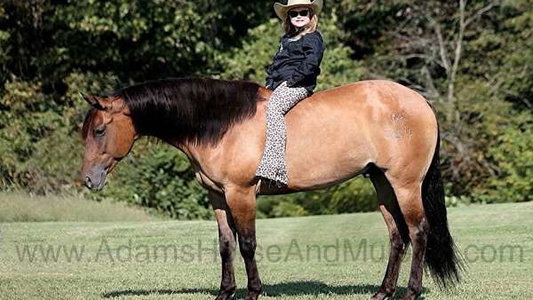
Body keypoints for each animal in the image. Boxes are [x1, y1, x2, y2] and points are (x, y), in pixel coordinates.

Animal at [79, 78, 462, 300]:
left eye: (99, 130)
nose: (88, 180)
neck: (221, 122)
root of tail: (421, 102)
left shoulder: (241, 193)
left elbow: (247, 244)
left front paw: (252, 292)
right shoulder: (217, 196)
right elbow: (226, 245)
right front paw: (225, 292)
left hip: (406, 184)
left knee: (418, 231)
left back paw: (411, 292)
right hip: (381, 183)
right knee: (398, 235)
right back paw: (383, 292)